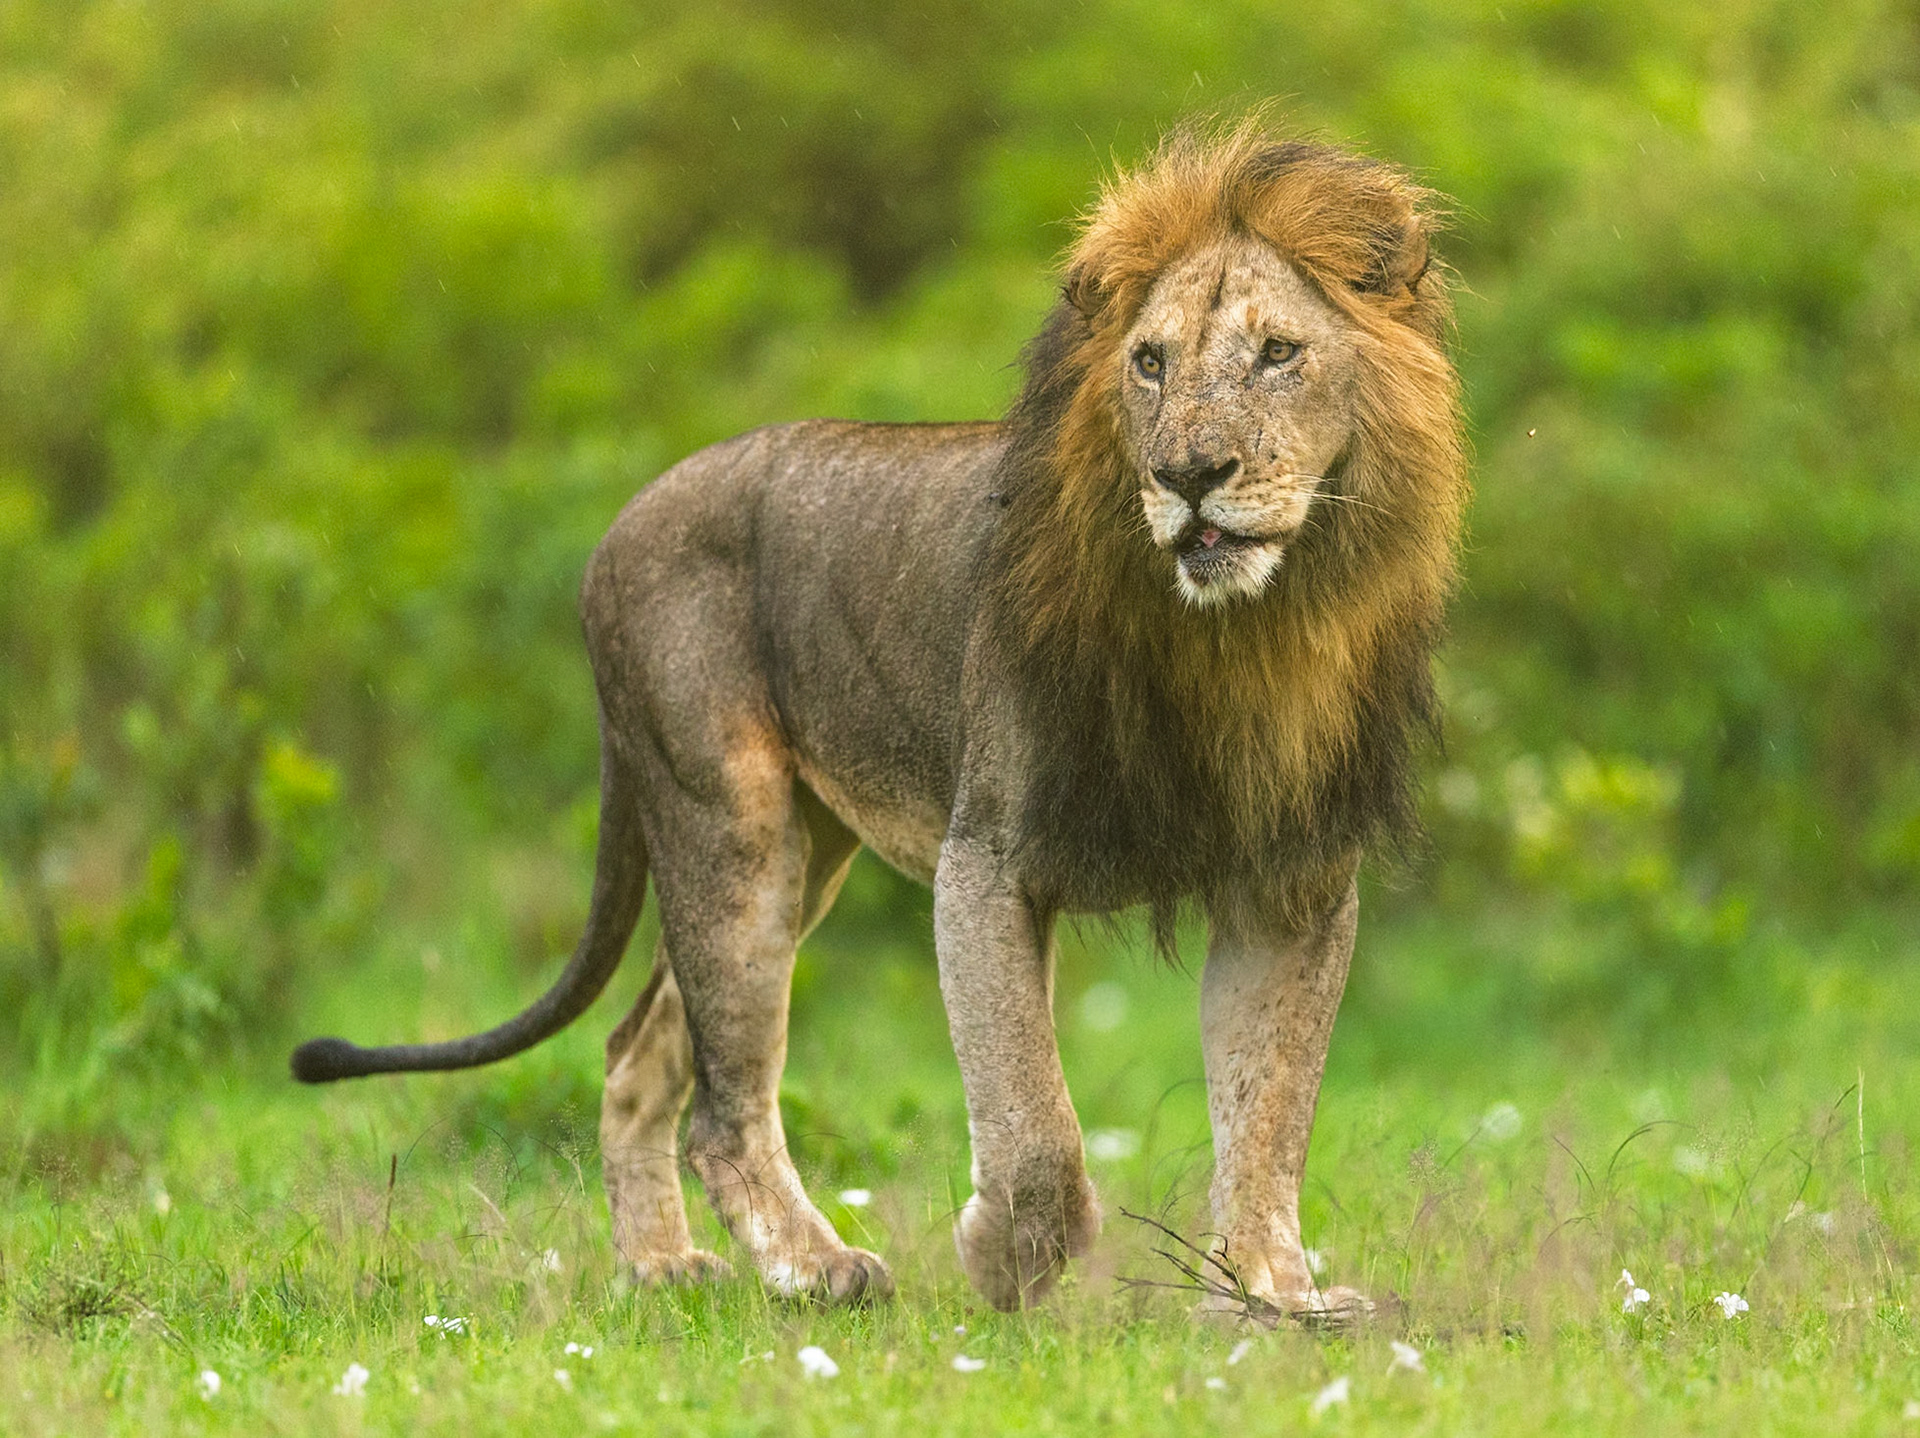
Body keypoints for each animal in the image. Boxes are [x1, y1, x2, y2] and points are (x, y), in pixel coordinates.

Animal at [292, 121, 1468, 1318]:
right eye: (1150, 362)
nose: (1189, 473)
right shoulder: (989, 858)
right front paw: (1006, 1257)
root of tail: (621, 523)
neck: (1240, 638)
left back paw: (660, 1265)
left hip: (806, 849)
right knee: (723, 1100)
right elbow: (1036, 1124)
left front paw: (1274, 1296)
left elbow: (1267, 1114)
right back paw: (813, 1267)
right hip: (731, 825)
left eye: (1279, 352)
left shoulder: (1292, 886)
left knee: (637, 1050)